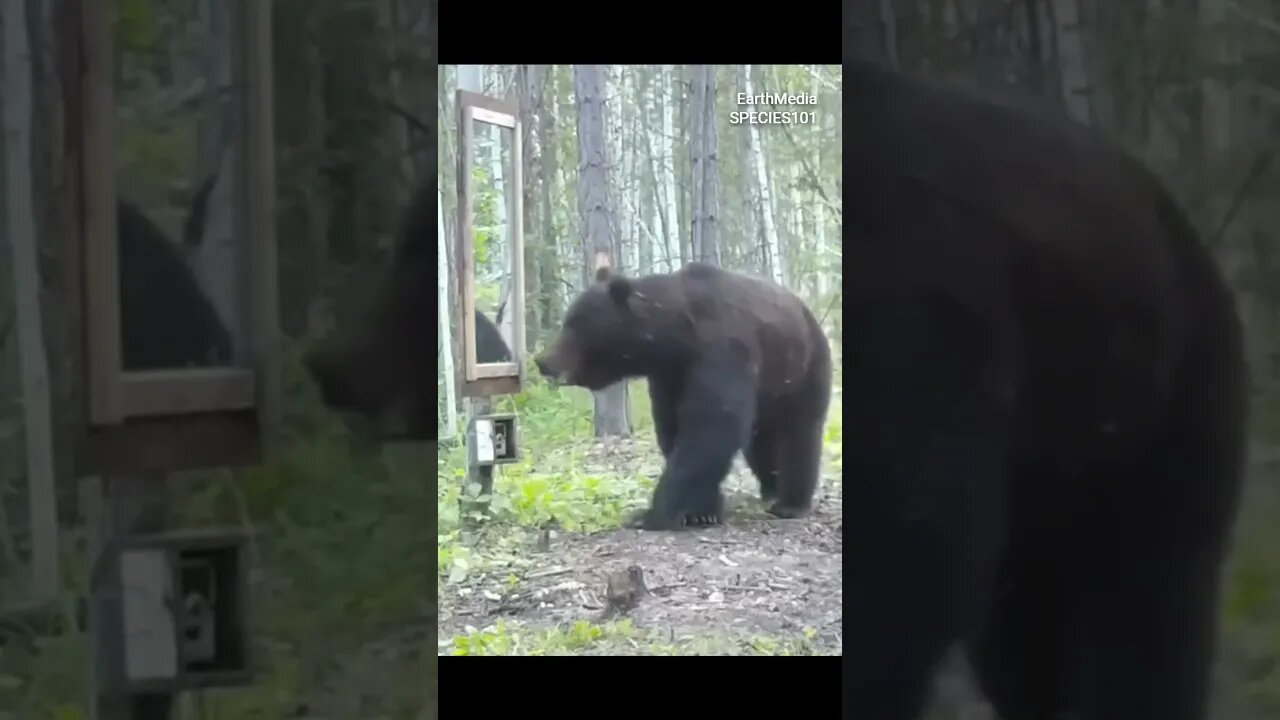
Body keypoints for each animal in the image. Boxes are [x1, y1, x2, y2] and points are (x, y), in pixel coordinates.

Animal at [535, 262, 834, 527]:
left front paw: (651, 514)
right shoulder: (669, 375)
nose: (543, 362)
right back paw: (770, 490)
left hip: (801, 371)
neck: (677, 338)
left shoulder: (724, 351)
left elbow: (710, 428)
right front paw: (703, 511)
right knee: (759, 442)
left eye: (574, 325)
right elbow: (673, 427)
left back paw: (790, 503)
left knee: (798, 435)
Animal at [844, 57, 1244, 717]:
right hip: (1054, 469)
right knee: (1032, 634)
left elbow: (909, 540)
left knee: (1147, 609)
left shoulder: (921, 305)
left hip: (1163, 401)